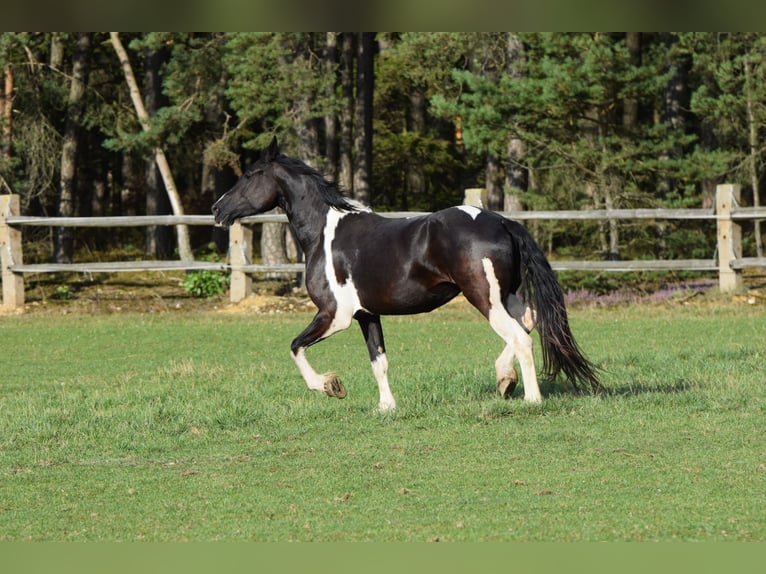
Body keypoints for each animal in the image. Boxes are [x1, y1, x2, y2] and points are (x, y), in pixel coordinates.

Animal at [213, 137, 604, 412]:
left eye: (250, 175)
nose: (217, 209)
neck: (325, 234)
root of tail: (501, 221)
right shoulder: (367, 315)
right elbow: (379, 362)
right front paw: (386, 407)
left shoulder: (334, 315)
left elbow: (295, 346)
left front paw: (330, 386)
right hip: (505, 295)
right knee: (529, 321)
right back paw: (504, 380)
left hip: (484, 298)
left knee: (520, 337)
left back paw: (530, 398)